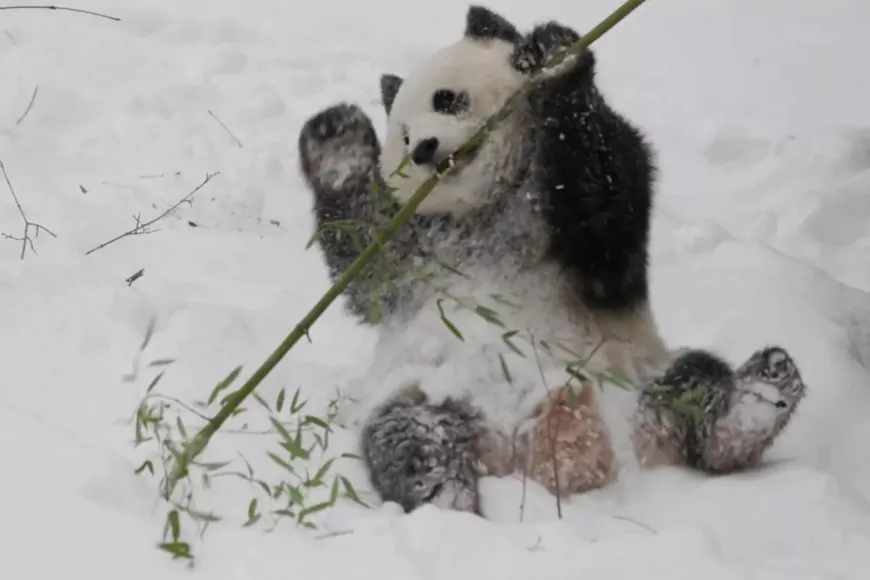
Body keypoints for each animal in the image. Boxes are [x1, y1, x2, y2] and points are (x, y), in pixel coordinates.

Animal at [294, 3, 812, 512]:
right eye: (401, 137)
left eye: (445, 99)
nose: (423, 149)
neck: (489, 205)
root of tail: (540, 452)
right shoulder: (419, 247)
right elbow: (367, 265)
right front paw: (336, 141)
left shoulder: (580, 220)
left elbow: (605, 210)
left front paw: (555, 56)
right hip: (426, 388)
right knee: (407, 433)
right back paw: (441, 491)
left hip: (637, 379)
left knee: (695, 386)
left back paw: (755, 400)